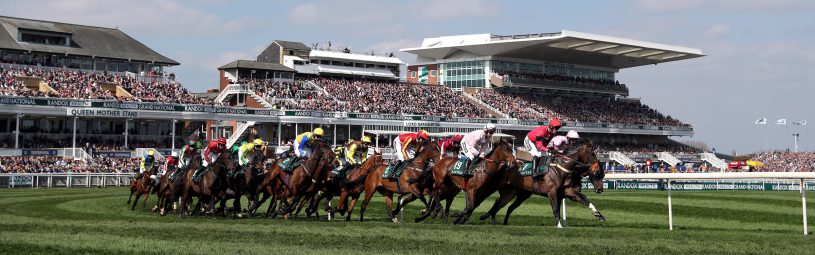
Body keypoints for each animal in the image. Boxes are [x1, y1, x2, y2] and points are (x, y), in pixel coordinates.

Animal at [474, 141, 604, 227]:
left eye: (601, 174)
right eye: (592, 154)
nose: (600, 189)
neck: (562, 169)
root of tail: (504, 165)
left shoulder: (566, 192)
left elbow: (584, 199)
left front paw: (599, 215)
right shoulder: (552, 192)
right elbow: (555, 209)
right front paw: (559, 225)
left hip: (514, 193)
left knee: (503, 204)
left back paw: (498, 220)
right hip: (498, 188)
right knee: (490, 200)